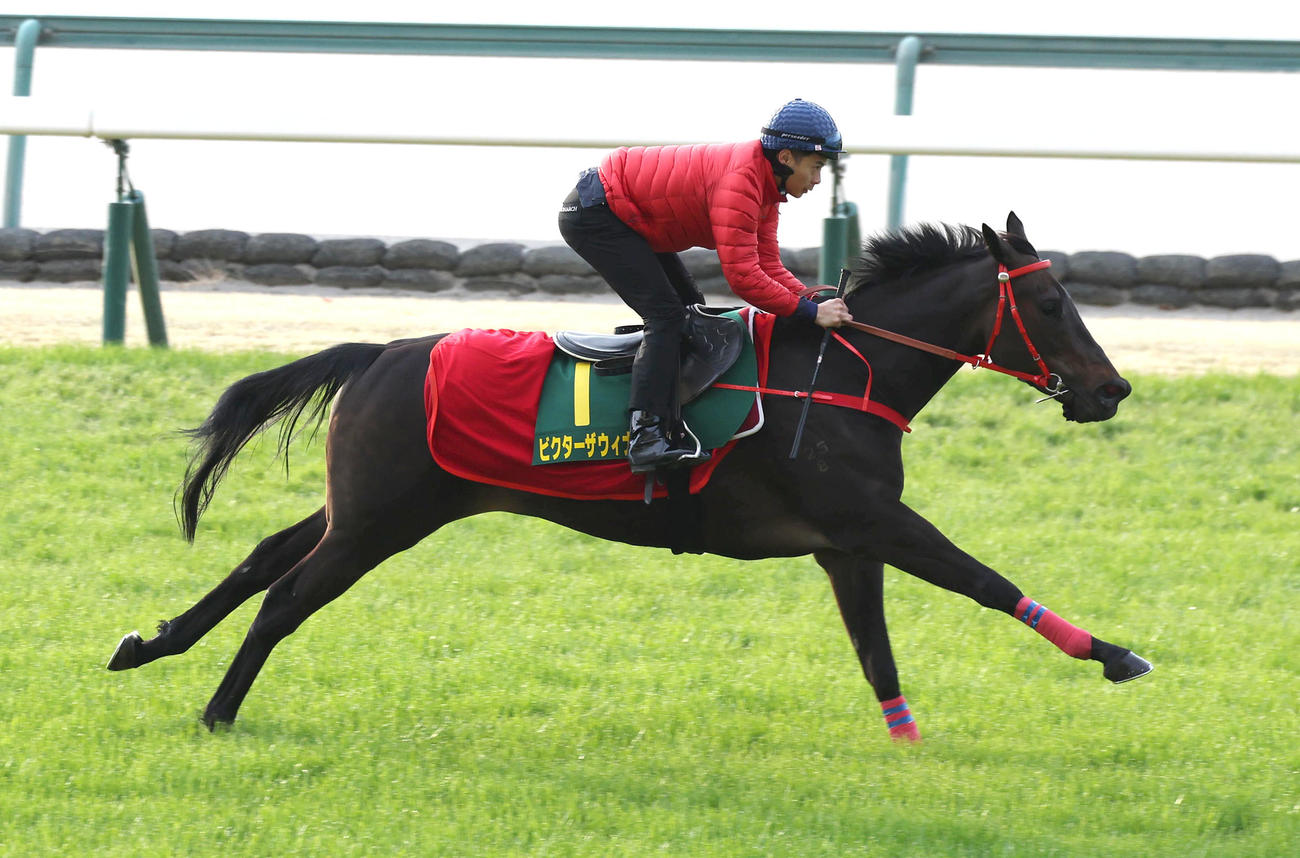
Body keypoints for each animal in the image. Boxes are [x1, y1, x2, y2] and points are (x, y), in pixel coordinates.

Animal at [107, 213, 1151, 739]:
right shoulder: (875, 524)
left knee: (260, 557)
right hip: (382, 521)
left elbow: (877, 652)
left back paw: (148, 645)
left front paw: (909, 749)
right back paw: (217, 713)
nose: (1111, 388)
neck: (843, 373)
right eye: (1051, 305)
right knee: (285, 596)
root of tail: (381, 352)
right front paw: (1114, 653)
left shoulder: (847, 544)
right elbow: (986, 579)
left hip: (364, 505)